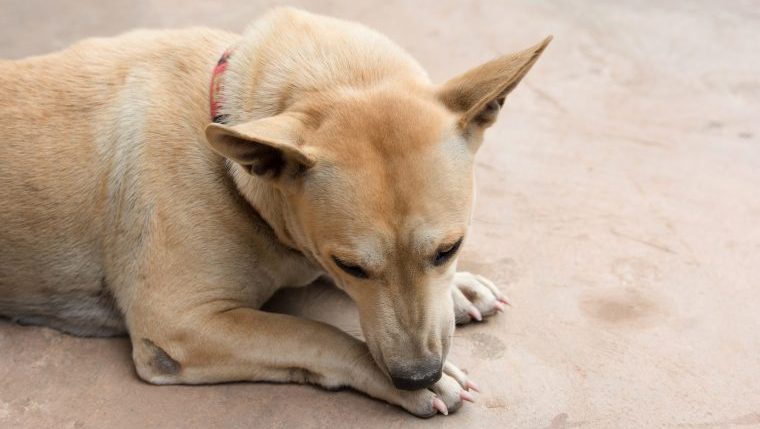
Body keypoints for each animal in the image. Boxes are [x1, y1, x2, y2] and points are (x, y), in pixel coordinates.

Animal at [0, 5, 548, 414]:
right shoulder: (179, 324)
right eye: (350, 265)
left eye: (450, 249)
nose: (417, 375)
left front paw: (458, 287)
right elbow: (314, 333)